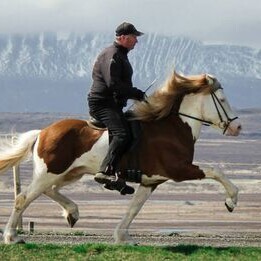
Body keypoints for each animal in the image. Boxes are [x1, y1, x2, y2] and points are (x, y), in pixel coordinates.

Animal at [0, 70, 242, 243]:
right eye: (222, 99)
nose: (237, 127)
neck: (174, 126)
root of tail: (43, 132)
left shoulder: (152, 180)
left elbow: (134, 208)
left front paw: (122, 236)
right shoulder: (180, 169)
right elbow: (215, 171)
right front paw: (231, 201)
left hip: (70, 173)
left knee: (49, 190)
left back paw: (72, 213)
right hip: (50, 172)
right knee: (23, 198)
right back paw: (12, 237)